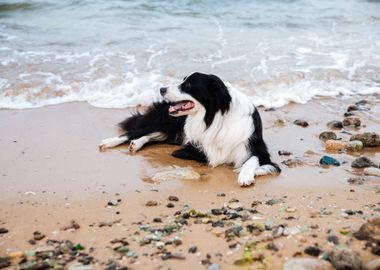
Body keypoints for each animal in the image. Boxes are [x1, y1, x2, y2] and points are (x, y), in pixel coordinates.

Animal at [99, 71, 280, 186]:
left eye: (189, 84)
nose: (161, 89)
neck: (216, 117)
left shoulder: (258, 149)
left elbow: (253, 161)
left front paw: (245, 175)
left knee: (154, 135)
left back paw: (136, 144)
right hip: (170, 122)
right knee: (138, 131)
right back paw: (110, 142)